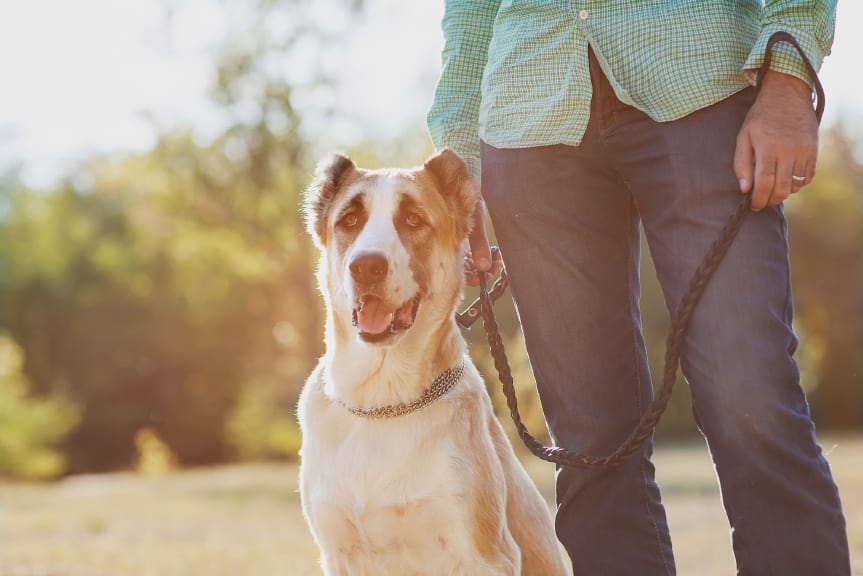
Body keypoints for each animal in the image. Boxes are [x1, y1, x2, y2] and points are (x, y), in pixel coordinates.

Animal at [296, 150, 568, 576]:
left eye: (412, 220)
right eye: (349, 221)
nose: (366, 266)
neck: (382, 400)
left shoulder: (483, 555)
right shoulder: (339, 553)